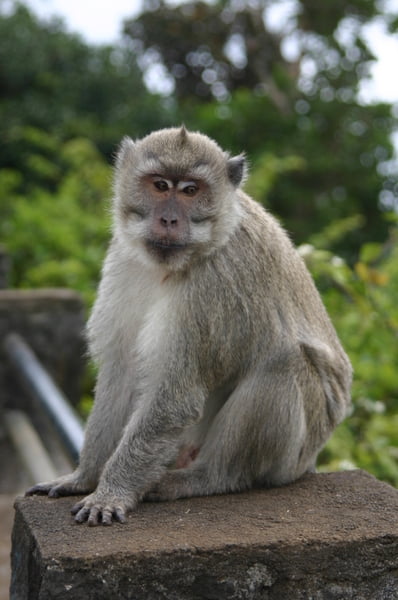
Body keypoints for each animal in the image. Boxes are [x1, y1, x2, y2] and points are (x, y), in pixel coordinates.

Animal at [27, 126, 352, 524]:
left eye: (190, 191)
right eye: (160, 185)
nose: (169, 220)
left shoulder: (214, 282)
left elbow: (174, 398)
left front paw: (110, 492)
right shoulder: (124, 258)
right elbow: (121, 373)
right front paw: (84, 478)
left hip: (294, 455)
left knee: (284, 362)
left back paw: (210, 477)